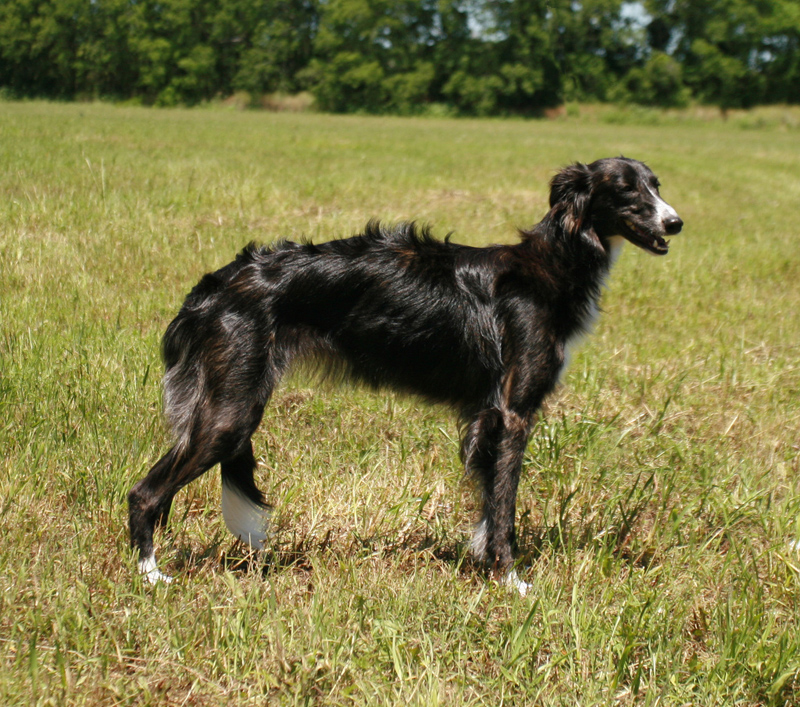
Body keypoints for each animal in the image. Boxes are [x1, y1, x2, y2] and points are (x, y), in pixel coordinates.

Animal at [128, 156, 683, 592]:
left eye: (656, 183)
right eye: (625, 188)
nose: (676, 222)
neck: (553, 263)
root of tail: (217, 284)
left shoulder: (486, 416)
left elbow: (488, 505)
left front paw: (486, 566)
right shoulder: (512, 413)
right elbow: (503, 506)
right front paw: (511, 580)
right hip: (231, 415)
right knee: (144, 493)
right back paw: (151, 576)